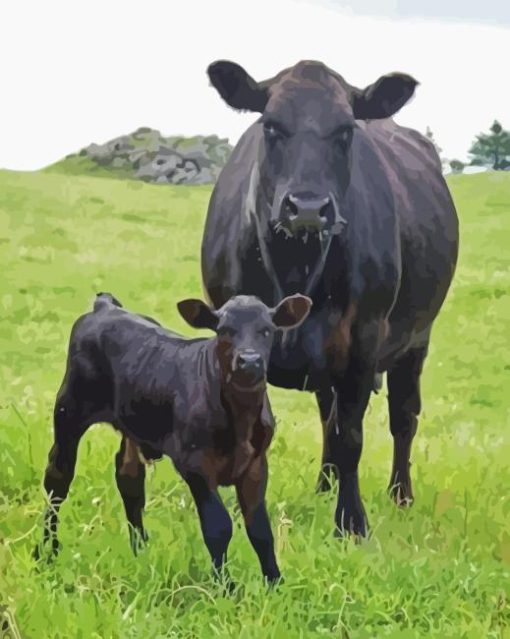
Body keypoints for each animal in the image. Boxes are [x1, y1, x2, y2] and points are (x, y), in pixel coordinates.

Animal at [33, 292, 310, 584]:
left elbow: (259, 529)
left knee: (129, 479)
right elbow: (218, 527)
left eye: (267, 330)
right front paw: (225, 587)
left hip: (131, 425)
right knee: (57, 481)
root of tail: (105, 307)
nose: (249, 360)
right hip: (69, 411)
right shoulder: (194, 464)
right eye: (224, 331)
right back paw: (47, 552)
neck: (240, 419)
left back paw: (140, 551)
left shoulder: (256, 464)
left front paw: (275, 583)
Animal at [201, 61, 460, 540]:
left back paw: (400, 495)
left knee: (403, 417)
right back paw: (325, 484)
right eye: (271, 126)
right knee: (328, 413)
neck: (294, 266)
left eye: (345, 130)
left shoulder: (363, 338)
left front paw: (351, 523)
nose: (306, 207)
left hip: (416, 339)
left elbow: (351, 435)